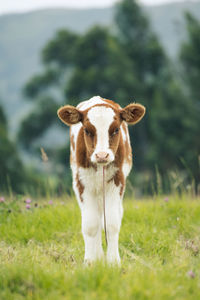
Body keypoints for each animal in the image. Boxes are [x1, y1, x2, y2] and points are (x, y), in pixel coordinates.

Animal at [57, 95, 145, 264]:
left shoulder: (118, 181)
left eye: (116, 129)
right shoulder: (81, 183)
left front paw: (113, 262)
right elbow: (91, 225)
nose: (102, 155)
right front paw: (91, 261)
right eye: (87, 130)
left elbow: (111, 222)